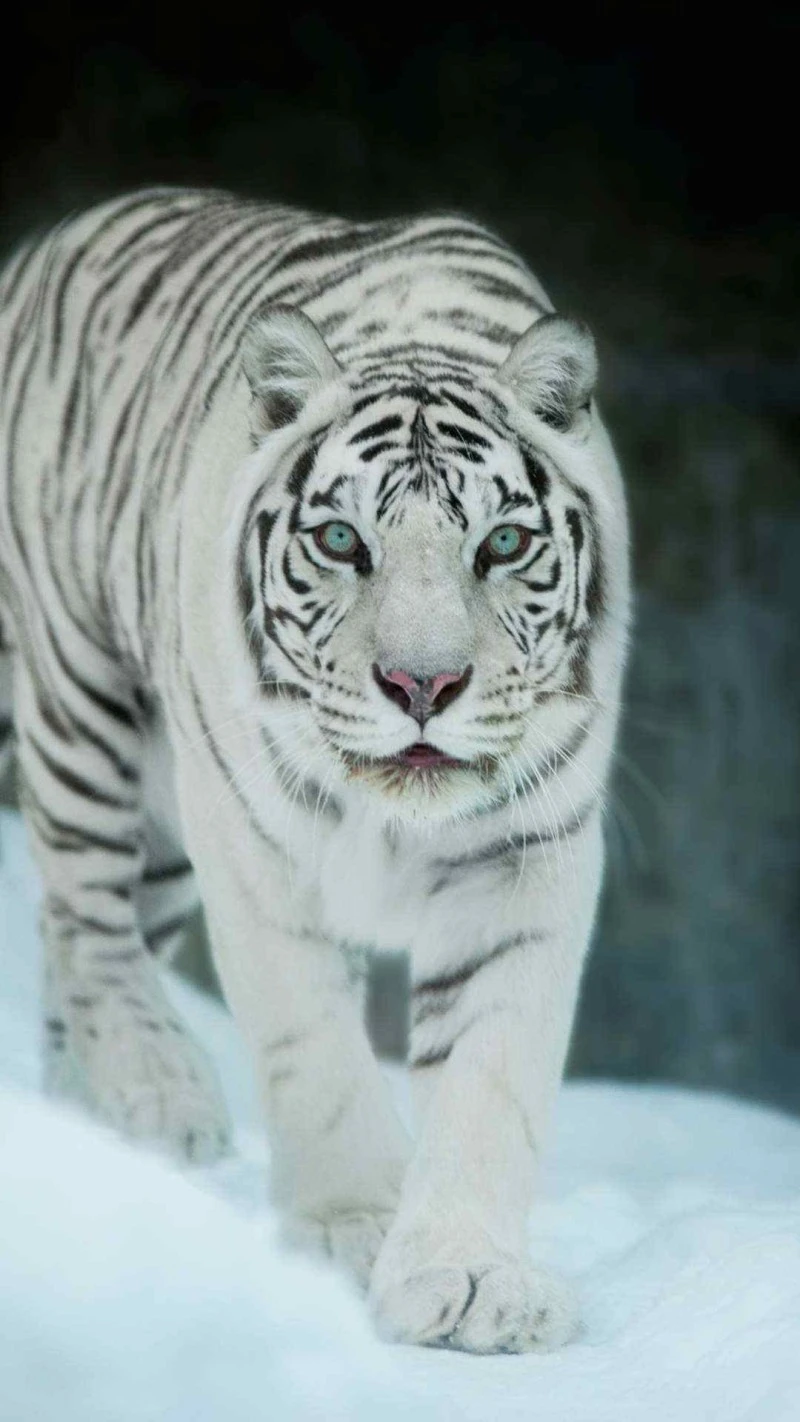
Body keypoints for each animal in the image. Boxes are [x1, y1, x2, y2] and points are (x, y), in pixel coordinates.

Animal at [0, 188, 629, 1354]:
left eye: (502, 544)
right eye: (341, 542)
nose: (423, 684)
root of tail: (49, 240)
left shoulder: (527, 852)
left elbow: (490, 1075)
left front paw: (471, 1278)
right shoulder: (250, 839)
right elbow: (315, 1050)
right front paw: (351, 1233)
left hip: (160, 825)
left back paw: (96, 1130)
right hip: (83, 695)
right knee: (80, 913)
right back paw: (160, 1095)